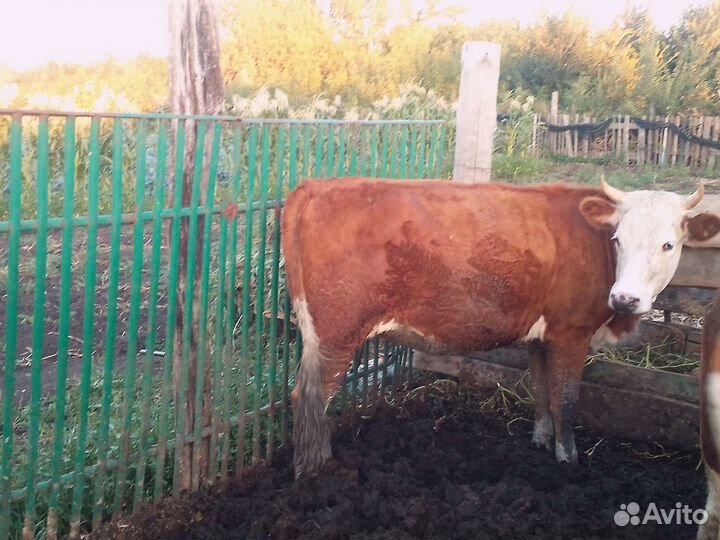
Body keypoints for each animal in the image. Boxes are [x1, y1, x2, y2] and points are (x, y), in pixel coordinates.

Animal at [281, 176, 720, 477]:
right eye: (617, 239)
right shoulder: (571, 334)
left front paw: (541, 440)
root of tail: (316, 187)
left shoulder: (542, 339)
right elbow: (566, 399)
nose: (625, 298)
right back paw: (315, 468)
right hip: (337, 335)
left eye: (668, 244)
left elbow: (542, 392)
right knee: (310, 398)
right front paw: (568, 458)